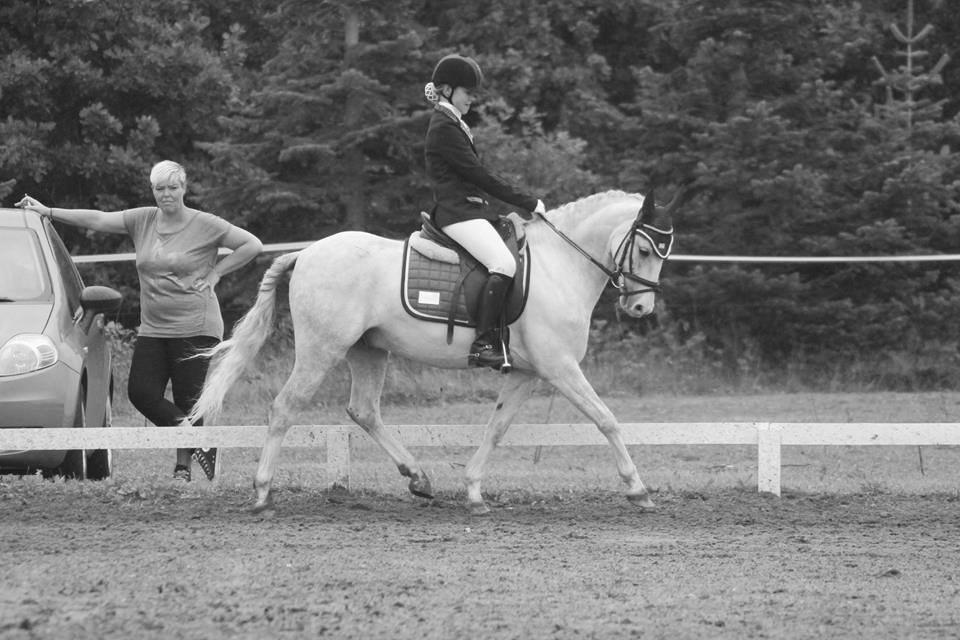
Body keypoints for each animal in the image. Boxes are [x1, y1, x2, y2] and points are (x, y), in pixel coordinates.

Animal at [188, 189, 681, 514]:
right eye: (644, 248)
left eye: (665, 251)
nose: (640, 307)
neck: (559, 265)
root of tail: (306, 253)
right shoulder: (559, 367)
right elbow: (607, 420)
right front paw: (638, 489)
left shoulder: (527, 373)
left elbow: (496, 428)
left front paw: (475, 492)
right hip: (321, 349)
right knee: (284, 409)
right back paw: (261, 494)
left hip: (368, 351)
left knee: (364, 411)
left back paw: (419, 479)